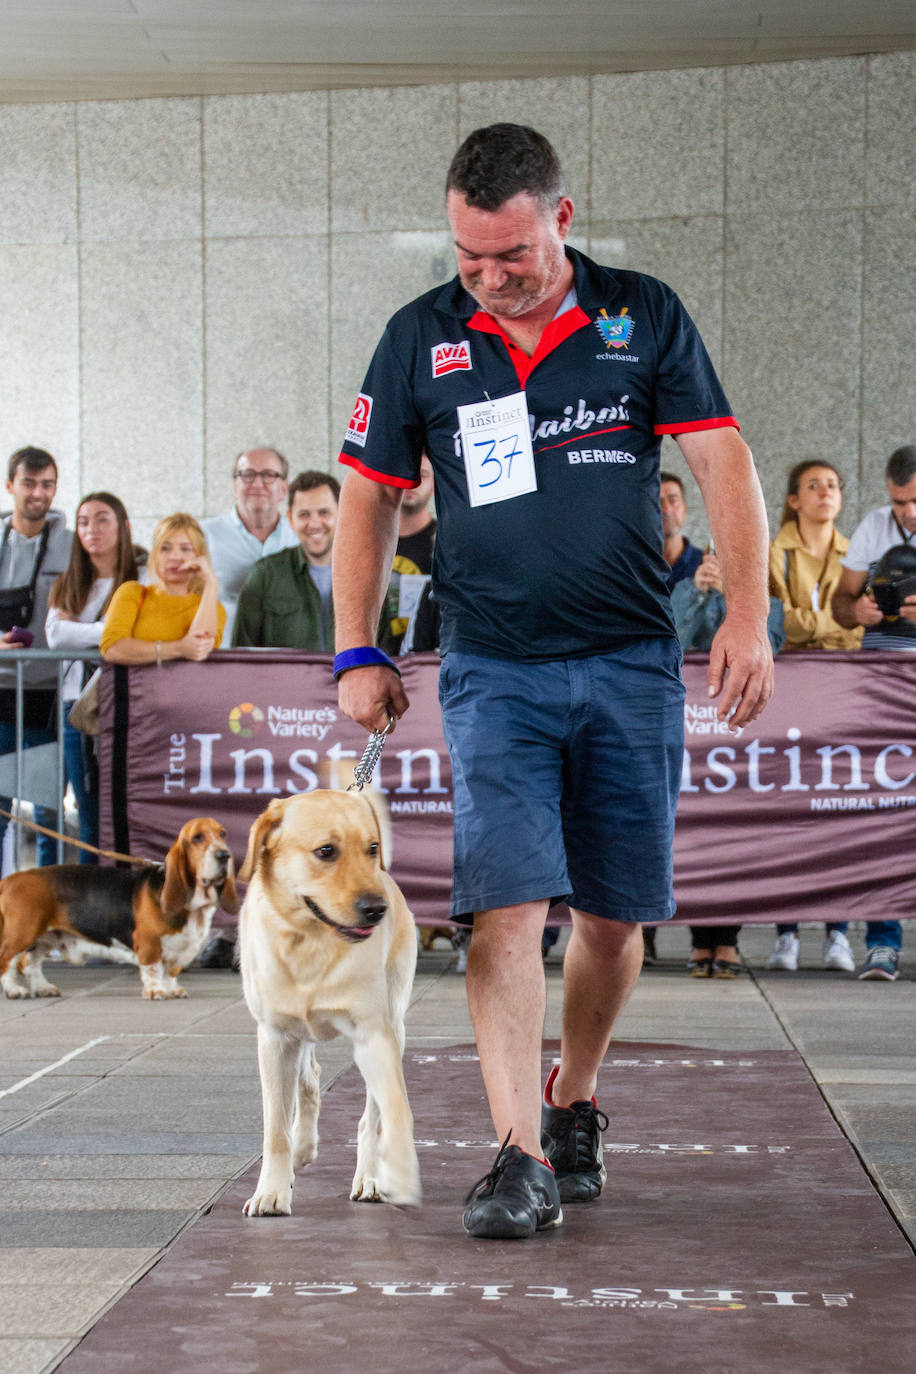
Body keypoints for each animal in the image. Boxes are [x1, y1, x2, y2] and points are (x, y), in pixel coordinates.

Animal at [0, 813, 240, 1000]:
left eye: (223, 834)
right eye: (197, 837)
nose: (224, 855)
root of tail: (11, 879)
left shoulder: (181, 949)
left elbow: (171, 972)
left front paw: (172, 989)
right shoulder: (149, 943)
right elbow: (153, 969)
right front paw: (156, 991)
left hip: (46, 937)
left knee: (29, 962)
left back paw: (43, 988)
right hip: (22, 933)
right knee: (8, 960)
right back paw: (14, 990)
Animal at [238, 791, 420, 1220]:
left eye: (372, 848)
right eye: (326, 851)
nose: (376, 909)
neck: (309, 940)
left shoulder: (374, 1035)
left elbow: (393, 1109)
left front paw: (395, 1171)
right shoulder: (274, 1038)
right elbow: (276, 1128)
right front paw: (271, 1190)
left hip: (395, 1024)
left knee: (370, 1115)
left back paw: (369, 1178)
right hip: (298, 1035)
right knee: (309, 1078)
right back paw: (301, 1149)